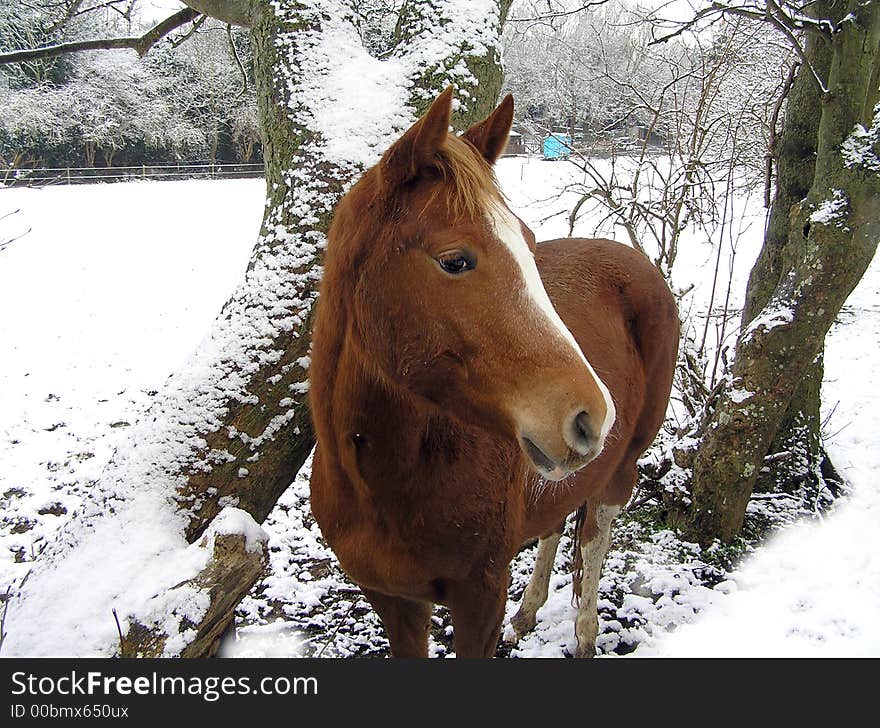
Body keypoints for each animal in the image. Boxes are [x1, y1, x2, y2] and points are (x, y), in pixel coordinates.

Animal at [310, 88, 680, 656]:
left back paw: (585, 633)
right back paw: (529, 613)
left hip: (622, 466)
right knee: (557, 522)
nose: (593, 417)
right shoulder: (392, 601)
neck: (382, 485)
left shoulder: (480, 597)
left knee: (596, 534)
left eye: (529, 243)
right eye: (455, 260)